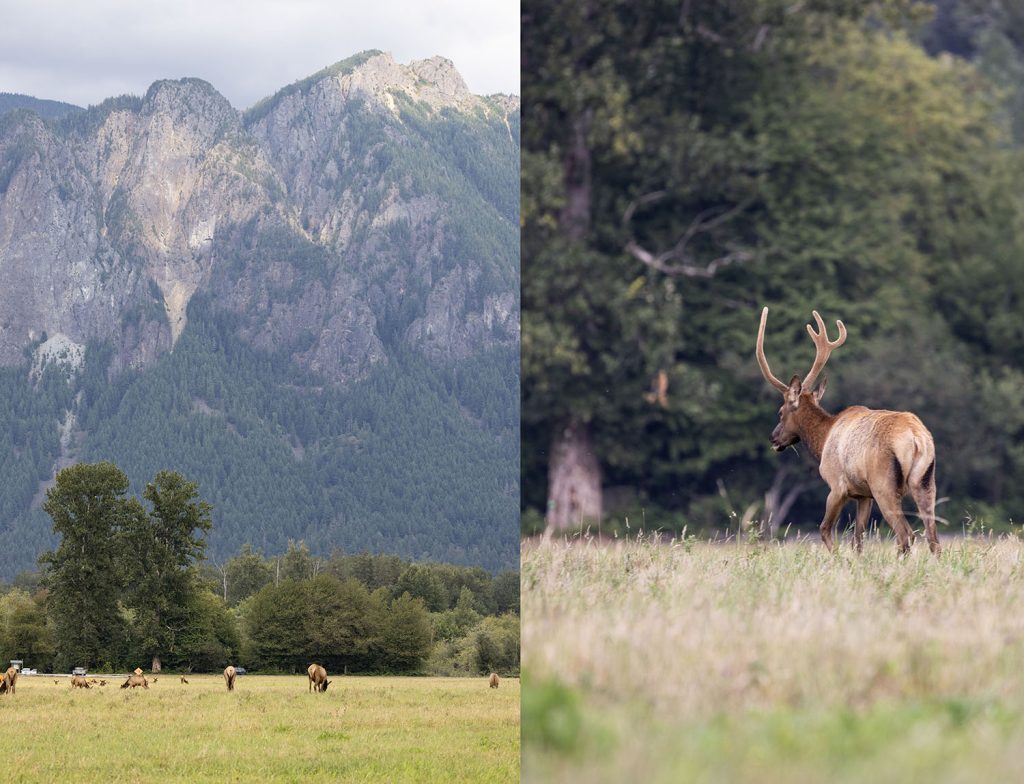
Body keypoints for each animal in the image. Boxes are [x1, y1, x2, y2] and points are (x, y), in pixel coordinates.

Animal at [756, 307, 939, 556]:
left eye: (780, 412)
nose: (773, 438)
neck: (823, 439)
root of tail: (917, 438)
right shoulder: (863, 494)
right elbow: (857, 539)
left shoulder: (837, 484)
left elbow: (825, 529)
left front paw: (839, 559)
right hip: (926, 482)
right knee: (933, 538)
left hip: (885, 484)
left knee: (906, 534)